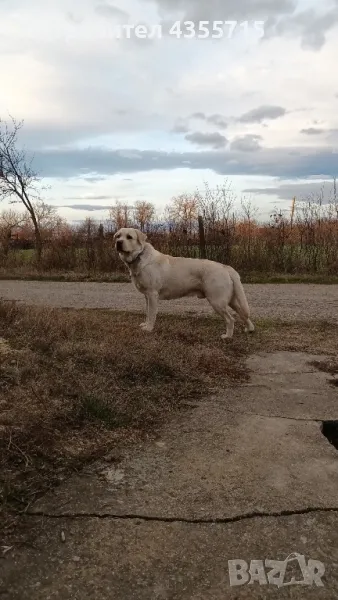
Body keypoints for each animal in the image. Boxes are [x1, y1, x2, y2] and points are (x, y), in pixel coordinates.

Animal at [113, 226, 254, 338]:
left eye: (129, 237)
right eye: (118, 236)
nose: (118, 243)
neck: (139, 256)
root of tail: (225, 267)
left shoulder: (152, 294)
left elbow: (152, 314)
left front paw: (149, 329)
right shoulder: (147, 296)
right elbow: (147, 313)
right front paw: (145, 325)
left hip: (217, 301)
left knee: (231, 319)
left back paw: (227, 336)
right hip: (231, 300)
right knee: (243, 314)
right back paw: (249, 329)